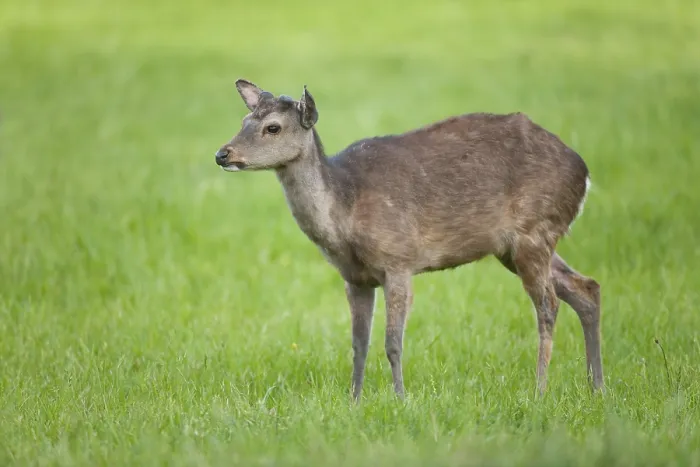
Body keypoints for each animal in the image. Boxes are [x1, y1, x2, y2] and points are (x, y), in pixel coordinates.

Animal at [214, 79, 604, 401]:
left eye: (272, 127)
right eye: (244, 121)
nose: (223, 154)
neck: (345, 211)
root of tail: (584, 172)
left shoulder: (398, 259)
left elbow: (392, 342)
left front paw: (401, 399)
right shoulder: (355, 277)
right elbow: (358, 343)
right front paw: (354, 401)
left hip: (534, 231)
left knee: (548, 305)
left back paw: (540, 391)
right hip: (516, 247)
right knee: (586, 288)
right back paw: (597, 387)